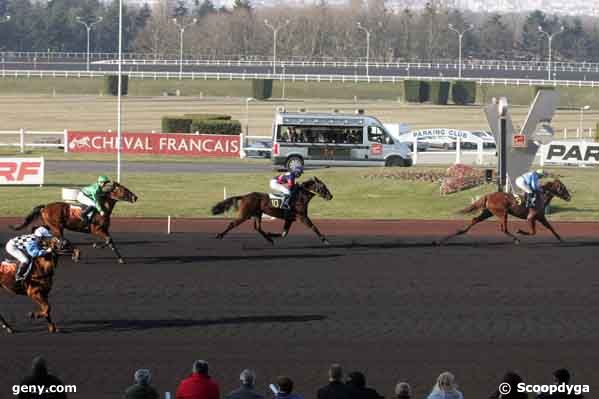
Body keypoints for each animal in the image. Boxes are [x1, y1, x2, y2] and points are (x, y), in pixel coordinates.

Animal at [10, 183, 138, 264]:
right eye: (123, 190)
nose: (135, 197)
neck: (102, 209)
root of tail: (45, 207)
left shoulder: (104, 229)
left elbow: (110, 241)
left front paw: (120, 259)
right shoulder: (96, 229)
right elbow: (108, 240)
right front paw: (97, 246)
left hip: (50, 225)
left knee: (38, 229)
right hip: (56, 227)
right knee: (60, 239)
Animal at [440, 180, 572, 245]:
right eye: (562, 188)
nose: (569, 197)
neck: (540, 197)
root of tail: (489, 195)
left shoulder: (540, 217)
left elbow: (551, 228)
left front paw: (561, 239)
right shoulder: (531, 217)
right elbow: (533, 232)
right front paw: (520, 231)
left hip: (488, 212)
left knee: (474, 220)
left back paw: (450, 236)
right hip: (502, 213)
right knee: (504, 229)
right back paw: (516, 239)